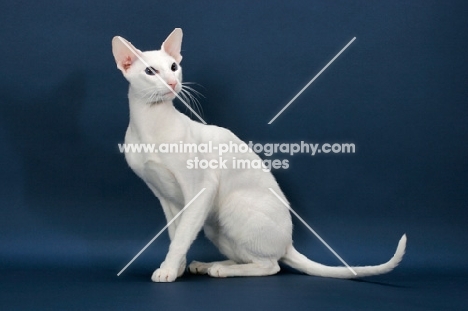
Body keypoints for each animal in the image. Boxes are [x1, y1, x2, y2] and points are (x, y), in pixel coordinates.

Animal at [112, 28, 406, 282]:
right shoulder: (165, 196)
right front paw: (178, 267)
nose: (173, 82)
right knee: (254, 259)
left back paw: (221, 270)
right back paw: (208, 265)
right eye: (151, 71)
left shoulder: (200, 189)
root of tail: (289, 244)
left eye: (174, 67)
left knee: (270, 266)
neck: (150, 126)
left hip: (231, 205)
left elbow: (183, 235)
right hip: (213, 225)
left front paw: (168, 270)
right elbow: (177, 234)